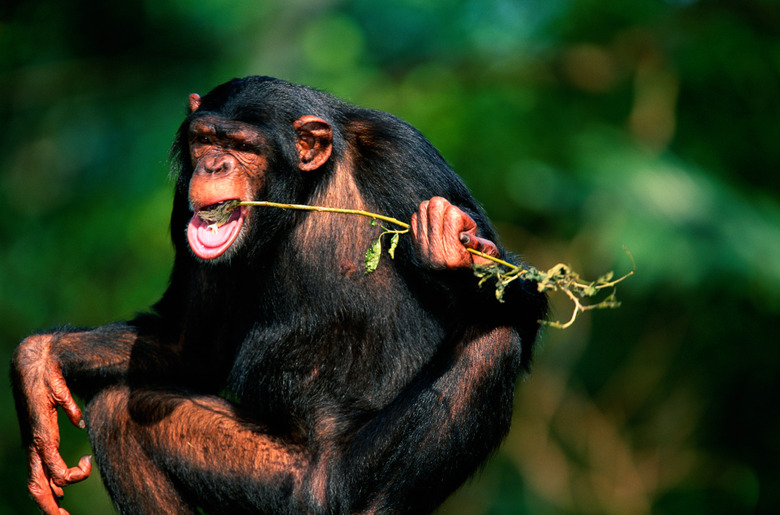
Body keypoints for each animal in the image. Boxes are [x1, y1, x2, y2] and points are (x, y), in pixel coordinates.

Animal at [12, 76, 548, 515]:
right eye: (204, 140)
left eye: (242, 146)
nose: (214, 164)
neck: (306, 190)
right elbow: (191, 343)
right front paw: (38, 365)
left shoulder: (407, 158)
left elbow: (525, 308)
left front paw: (448, 248)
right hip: (277, 484)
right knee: (120, 412)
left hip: (358, 477)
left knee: (491, 343)